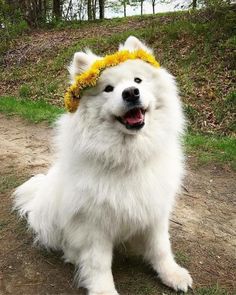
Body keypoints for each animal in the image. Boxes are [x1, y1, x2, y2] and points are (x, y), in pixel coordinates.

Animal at [13, 35, 192, 294]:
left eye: (137, 80)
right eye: (108, 89)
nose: (131, 93)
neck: (127, 157)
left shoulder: (155, 210)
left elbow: (161, 248)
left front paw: (172, 274)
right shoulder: (93, 224)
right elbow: (98, 264)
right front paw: (103, 290)